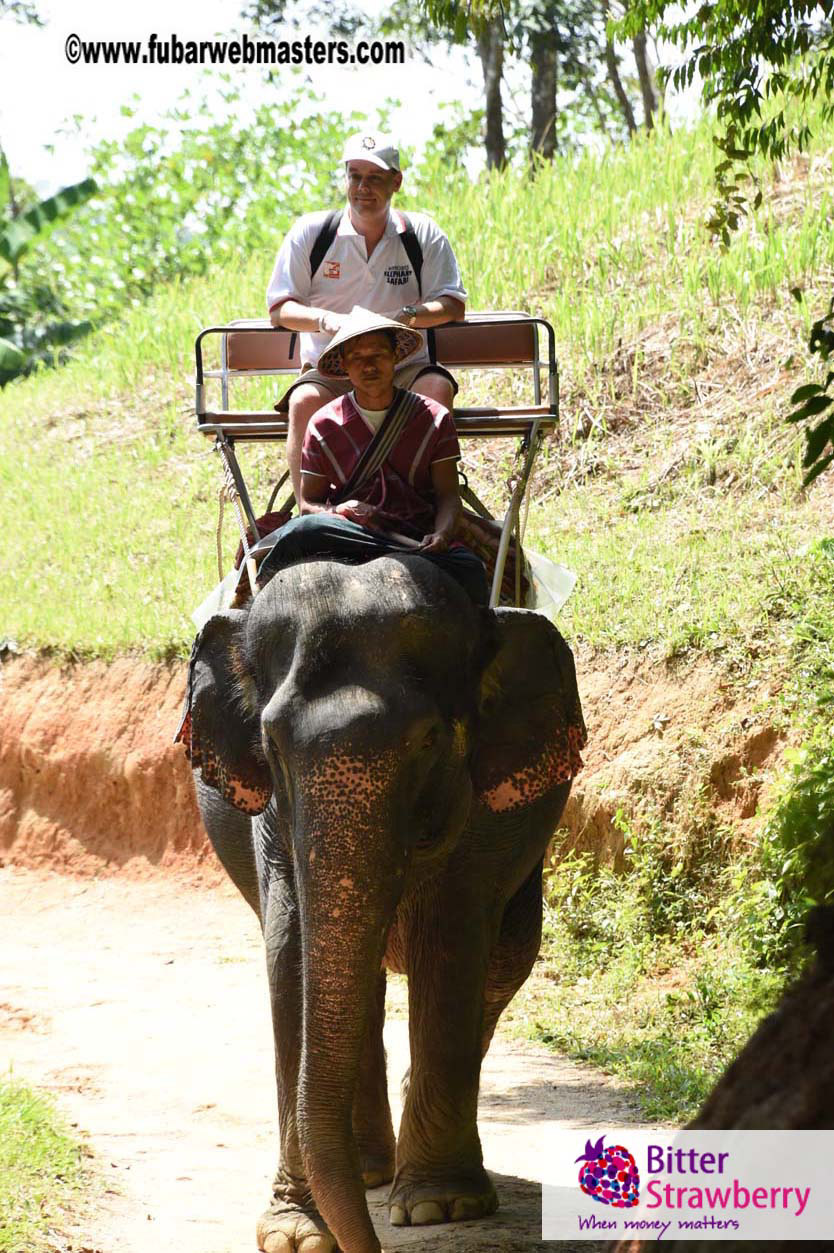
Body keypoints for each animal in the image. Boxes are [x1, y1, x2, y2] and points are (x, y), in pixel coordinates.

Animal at [176, 549, 586, 1253]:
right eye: (271, 743)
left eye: (428, 741)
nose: (357, 1245)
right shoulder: (271, 823)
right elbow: (289, 955)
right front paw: (295, 1234)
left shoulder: (483, 818)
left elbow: (450, 945)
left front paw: (439, 1208)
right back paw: (370, 1168)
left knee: (506, 960)